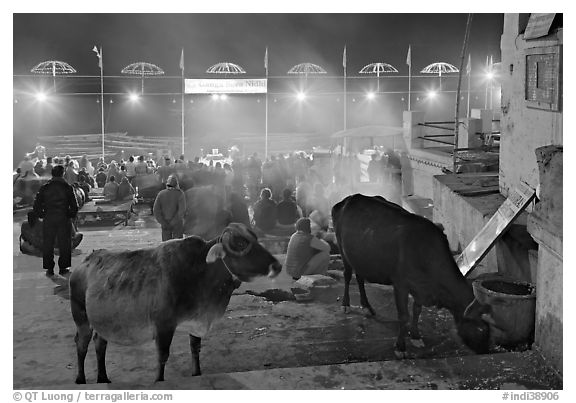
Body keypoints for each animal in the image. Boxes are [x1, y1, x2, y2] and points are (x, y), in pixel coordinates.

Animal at [70, 224, 282, 386]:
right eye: (240, 243)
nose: (277, 266)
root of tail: (85, 262)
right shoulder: (164, 326)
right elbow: (162, 356)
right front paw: (159, 380)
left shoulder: (195, 323)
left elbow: (195, 350)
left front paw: (197, 374)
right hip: (81, 318)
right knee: (81, 344)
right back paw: (80, 379)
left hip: (102, 321)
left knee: (100, 343)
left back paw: (103, 378)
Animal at [332, 196, 496, 360]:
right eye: (481, 329)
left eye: (489, 328)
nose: (486, 351)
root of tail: (349, 198)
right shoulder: (400, 284)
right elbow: (404, 316)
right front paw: (401, 347)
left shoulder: (420, 287)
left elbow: (417, 310)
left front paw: (416, 336)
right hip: (342, 249)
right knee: (347, 275)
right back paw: (346, 304)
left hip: (359, 258)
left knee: (359, 277)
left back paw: (366, 306)